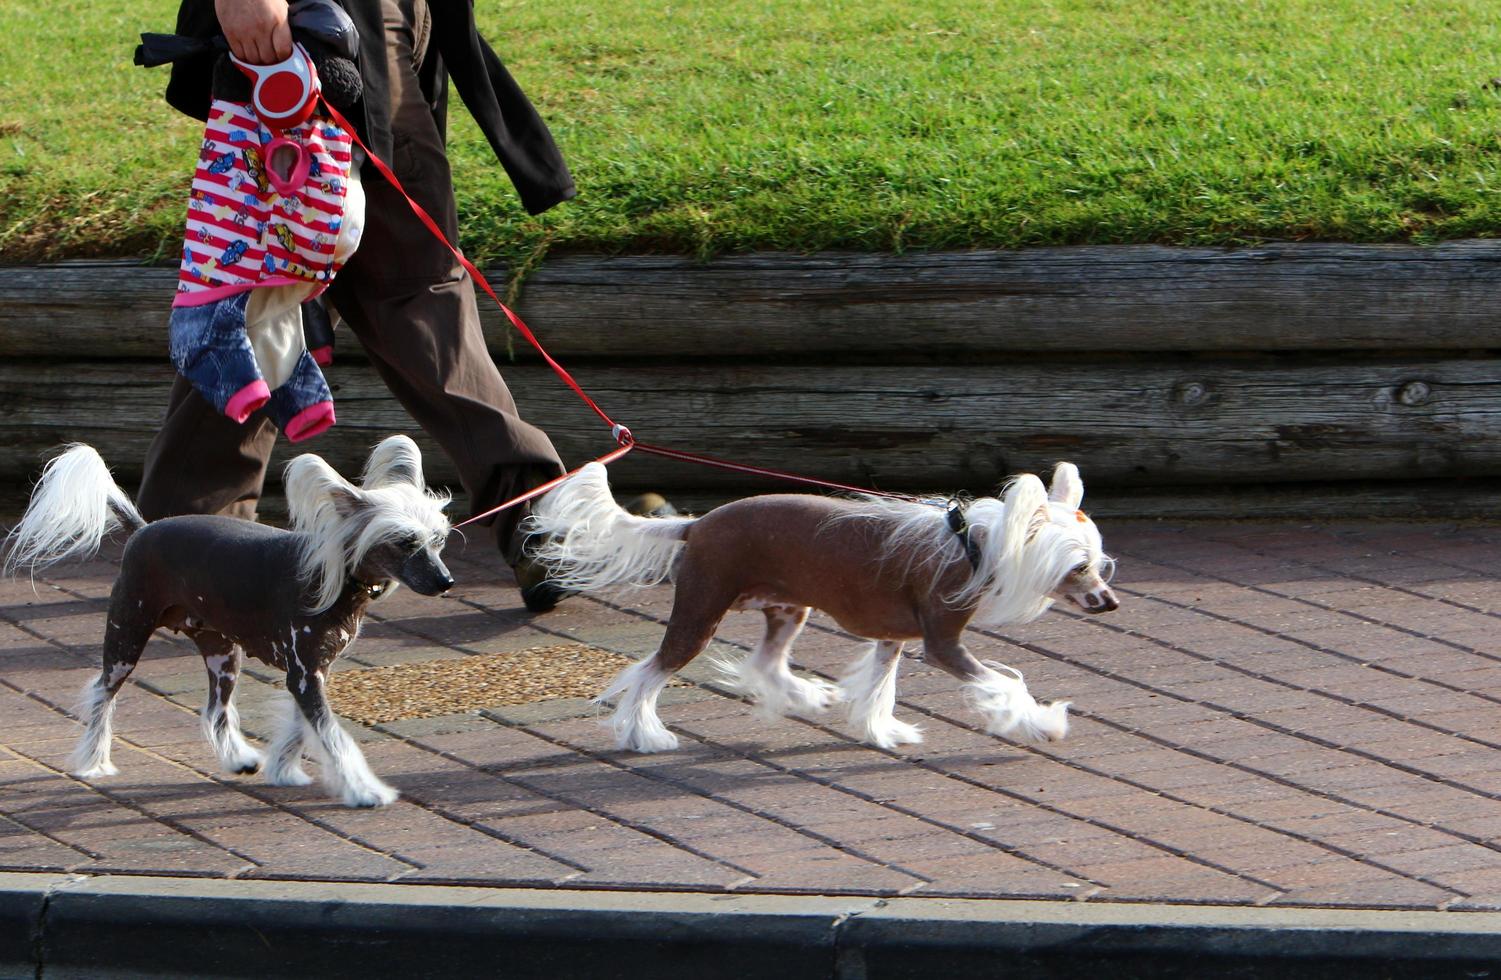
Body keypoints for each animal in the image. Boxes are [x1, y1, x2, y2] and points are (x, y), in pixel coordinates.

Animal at [5, 435, 450, 804]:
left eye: (438, 539)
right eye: (405, 542)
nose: (446, 581)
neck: (337, 577)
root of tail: (143, 529)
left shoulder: (311, 673)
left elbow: (301, 728)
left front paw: (283, 769)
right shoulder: (305, 675)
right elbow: (331, 735)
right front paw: (363, 790)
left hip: (223, 655)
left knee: (214, 710)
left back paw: (238, 760)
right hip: (126, 636)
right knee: (102, 694)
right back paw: (93, 760)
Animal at [528, 462, 1116, 753]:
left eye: (1099, 563)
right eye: (1078, 567)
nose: (1109, 603)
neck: (972, 544)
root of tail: (695, 524)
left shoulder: (893, 638)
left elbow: (880, 688)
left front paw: (882, 732)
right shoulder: (942, 643)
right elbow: (1005, 684)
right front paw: (1042, 725)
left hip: (788, 609)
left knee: (765, 662)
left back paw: (808, 697)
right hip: (700, 611)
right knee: (650, 673)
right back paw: (642, 735)